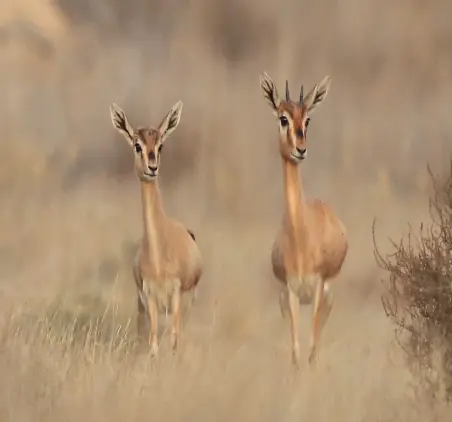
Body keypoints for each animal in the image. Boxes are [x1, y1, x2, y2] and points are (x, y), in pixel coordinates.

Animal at [109, 100, 203, 357]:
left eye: (161, 145)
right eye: (137, 145)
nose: (152, 168)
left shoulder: (176, 296)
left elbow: (174, 343)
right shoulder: (149, 298)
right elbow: (153, 346)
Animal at [259, 72, 348, 369]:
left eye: (307, 119)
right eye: (283, 118)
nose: (301, 149)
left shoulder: (319, 287)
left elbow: (311, 350)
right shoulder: (291, 292)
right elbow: (297, 352)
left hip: (328, 298)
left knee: (316, 344)